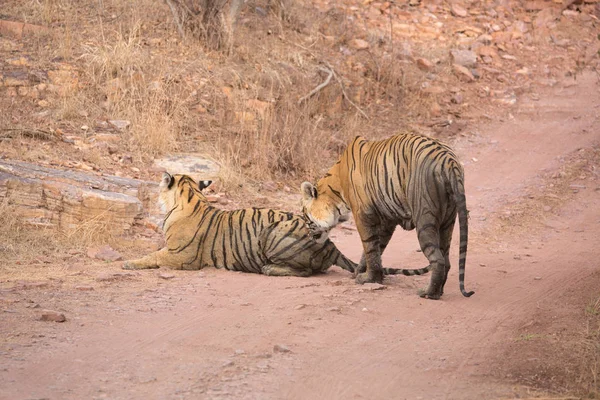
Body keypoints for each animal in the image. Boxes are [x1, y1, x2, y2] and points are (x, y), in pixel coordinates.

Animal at [123, 172, 432, 278]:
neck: (191, 196)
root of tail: (330, 245)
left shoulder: (180, 256)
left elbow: (151, 257)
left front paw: (127, 263)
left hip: (273, 235)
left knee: (306, 272)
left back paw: (269, 269)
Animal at [300, 133, 474, 298]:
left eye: (304, 215)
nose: (308, 235)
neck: (336, 190)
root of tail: (449, 160)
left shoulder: (363, 215)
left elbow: (369, 247)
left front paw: (367, 278)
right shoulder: (387, 221)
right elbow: (376, 248)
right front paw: (365, 273)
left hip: (425, 218)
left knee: (438, 259)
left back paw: (428, 293)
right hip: (448, 221)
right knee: (446, 259)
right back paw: (438, 292)